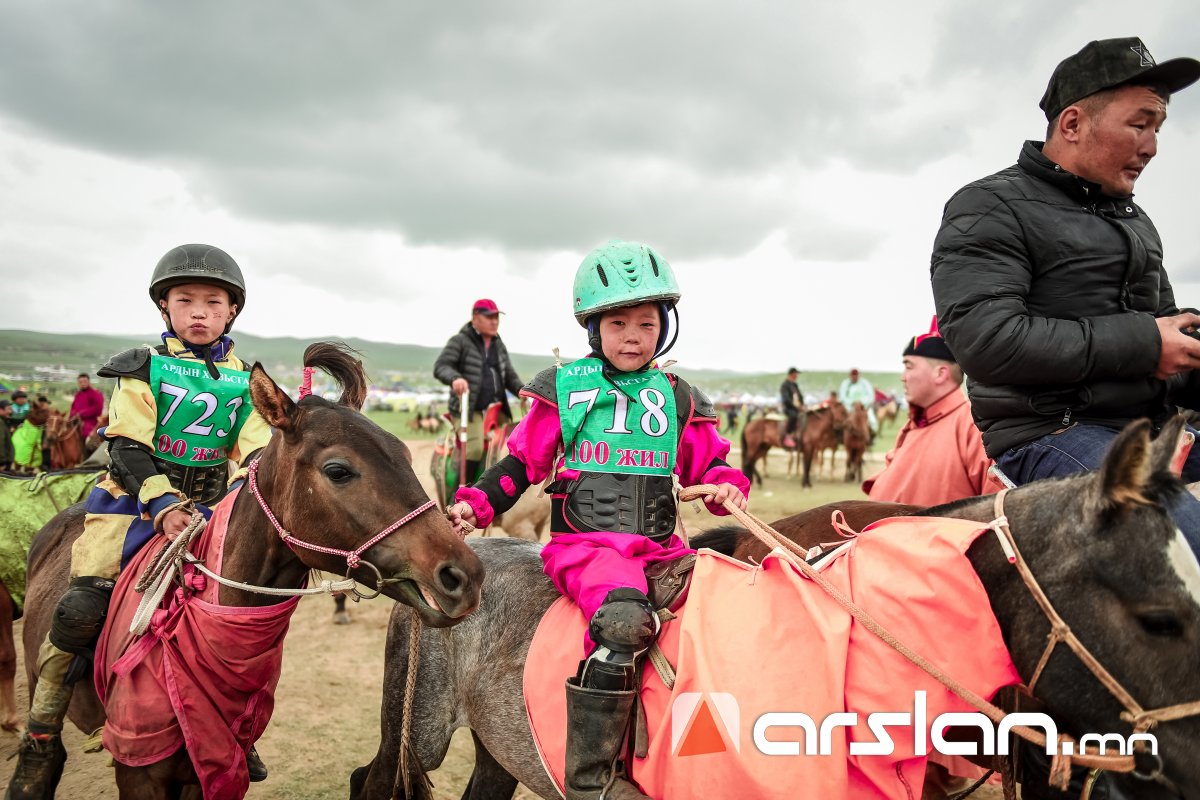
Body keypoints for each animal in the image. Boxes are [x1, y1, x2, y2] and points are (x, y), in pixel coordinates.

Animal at [20, 342, 486, 799]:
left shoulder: (209, 769)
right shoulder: (141, 773)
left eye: (406, 456)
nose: (463, 576)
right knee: (73, 622)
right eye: (338, 470)